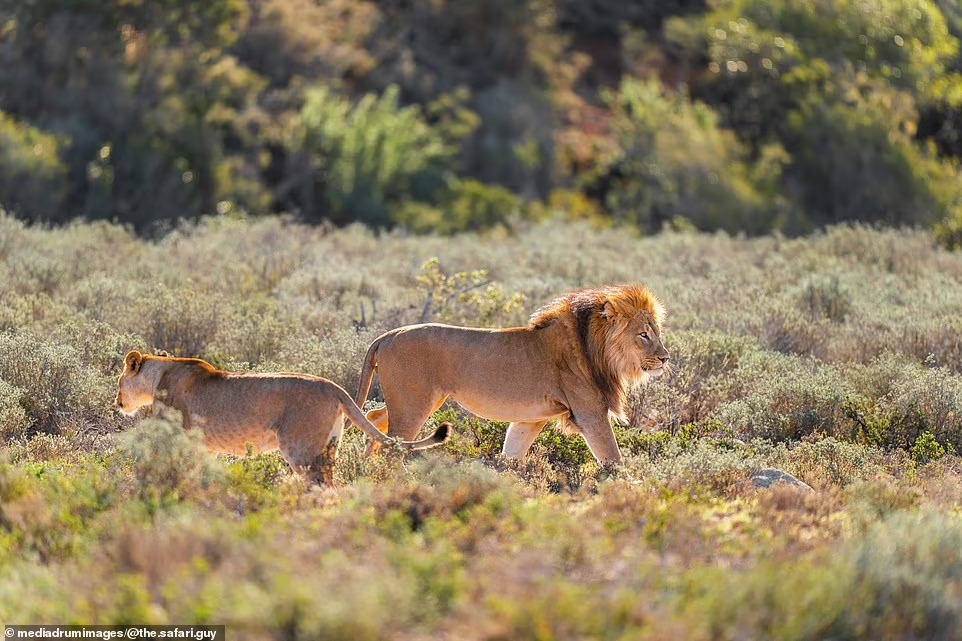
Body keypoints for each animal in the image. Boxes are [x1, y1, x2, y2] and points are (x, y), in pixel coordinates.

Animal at [115, 352, 450, 482]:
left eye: (118, 381)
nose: (117, 402)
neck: (161, 372)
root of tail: (332, 386)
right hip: (328, 447)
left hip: (300, 448)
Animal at [354, 282, 668, 462]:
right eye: (644, 335)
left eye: (657, 332)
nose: (665, 358)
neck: (599, 351)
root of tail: (387, 335)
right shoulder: (590, 414)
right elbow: (614, 461)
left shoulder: (530, 419)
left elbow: (512, 453)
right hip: (414, 405)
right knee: (394, 445)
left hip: (414, 402)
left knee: (374, 417)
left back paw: (365, 469)